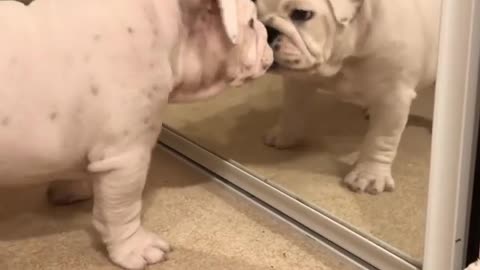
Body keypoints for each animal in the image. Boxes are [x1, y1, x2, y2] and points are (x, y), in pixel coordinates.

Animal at [0, 0, 272, 268]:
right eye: (250, 22)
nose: (267, 30)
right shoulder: (127, 158)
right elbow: (122, 210)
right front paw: (136, 248)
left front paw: (73, 186)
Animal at [255, 0, 442, 194]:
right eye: (253, 8)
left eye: (302, 14)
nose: (266, 29)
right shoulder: (298, 81)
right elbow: (292, 109)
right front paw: (283, 135)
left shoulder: (393, 96)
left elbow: (381, 138)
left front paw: (369, 175)